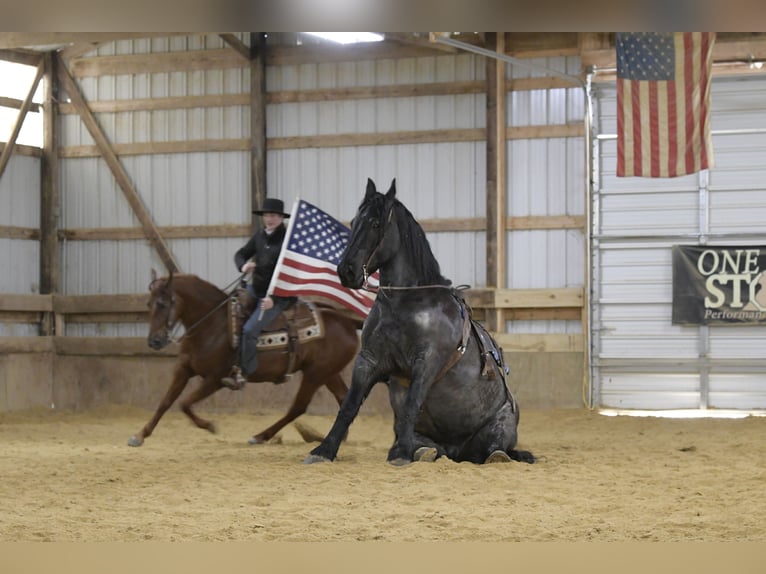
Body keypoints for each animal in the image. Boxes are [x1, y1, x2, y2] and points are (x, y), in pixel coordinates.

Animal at [128, 272, 364, 450]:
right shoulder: (183, 369)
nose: (154, 341)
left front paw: (209, 425)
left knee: (298, 407)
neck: (213, 324)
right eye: (148, 303)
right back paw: (336, 437)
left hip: (315, 374)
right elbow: (166, 402)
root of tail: (347, 320)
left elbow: (184, 403)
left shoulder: (215, 379)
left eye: (162, 304)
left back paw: (261, 436)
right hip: (328, 373)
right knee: (343, 398)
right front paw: (140, 435)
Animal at [304, 180, 536, 468]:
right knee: (430, 448)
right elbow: (349, 405)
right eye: (354, 221)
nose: (346, 270)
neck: (405, 304)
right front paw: (323, 450)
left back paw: (496, 455)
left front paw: (401, 454)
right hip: (430, 440)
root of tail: (456, 452)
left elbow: (412, 403)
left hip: (500, 427)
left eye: (376, 224)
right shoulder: (368, 360)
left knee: (493, 450)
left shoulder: (427, 361)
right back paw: (424, 452)